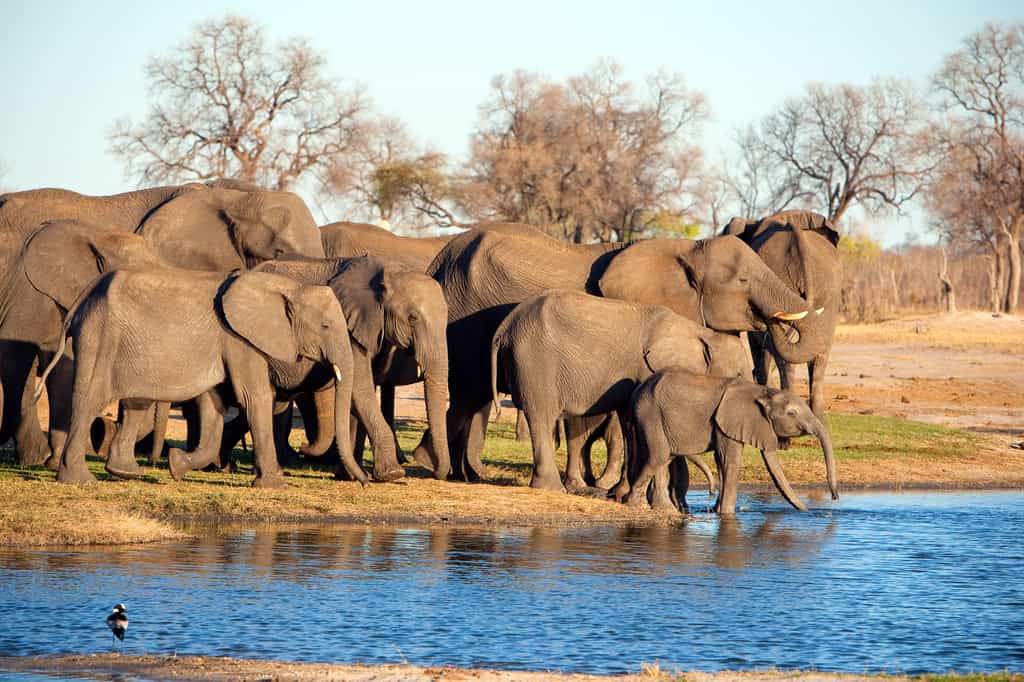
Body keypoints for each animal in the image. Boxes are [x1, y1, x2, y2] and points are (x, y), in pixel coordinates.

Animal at [37, 268, 356, 487]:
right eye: (325, 326)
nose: (363, 481)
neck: (290, 286)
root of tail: (82, 299)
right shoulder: (240, 340)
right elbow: (254, 398)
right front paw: (275, 486)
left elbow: (214, 405)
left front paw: (176, 466)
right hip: (100, 337)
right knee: (90, 401)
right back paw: (79, 480)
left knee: (134, 403)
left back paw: (127, 472)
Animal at [490, 289, 751, 491]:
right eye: (739, 374)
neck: (703, 335)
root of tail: (505, 326)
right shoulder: (647, 369)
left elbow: (628, 421)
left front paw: (621, 491)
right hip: (535, 361)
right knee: (541, 417)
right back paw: (553, 488)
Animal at [626, 370, 839, 514]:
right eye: (791, 414)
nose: (835, 497)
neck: (762, 391)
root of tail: (638, 389)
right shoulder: (730, 420)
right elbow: (730, 460)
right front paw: (727, 514)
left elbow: (722, 460)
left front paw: (717, 511)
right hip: (650, 413)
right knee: (659, 456)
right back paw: (637, 505)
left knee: (660, 456)